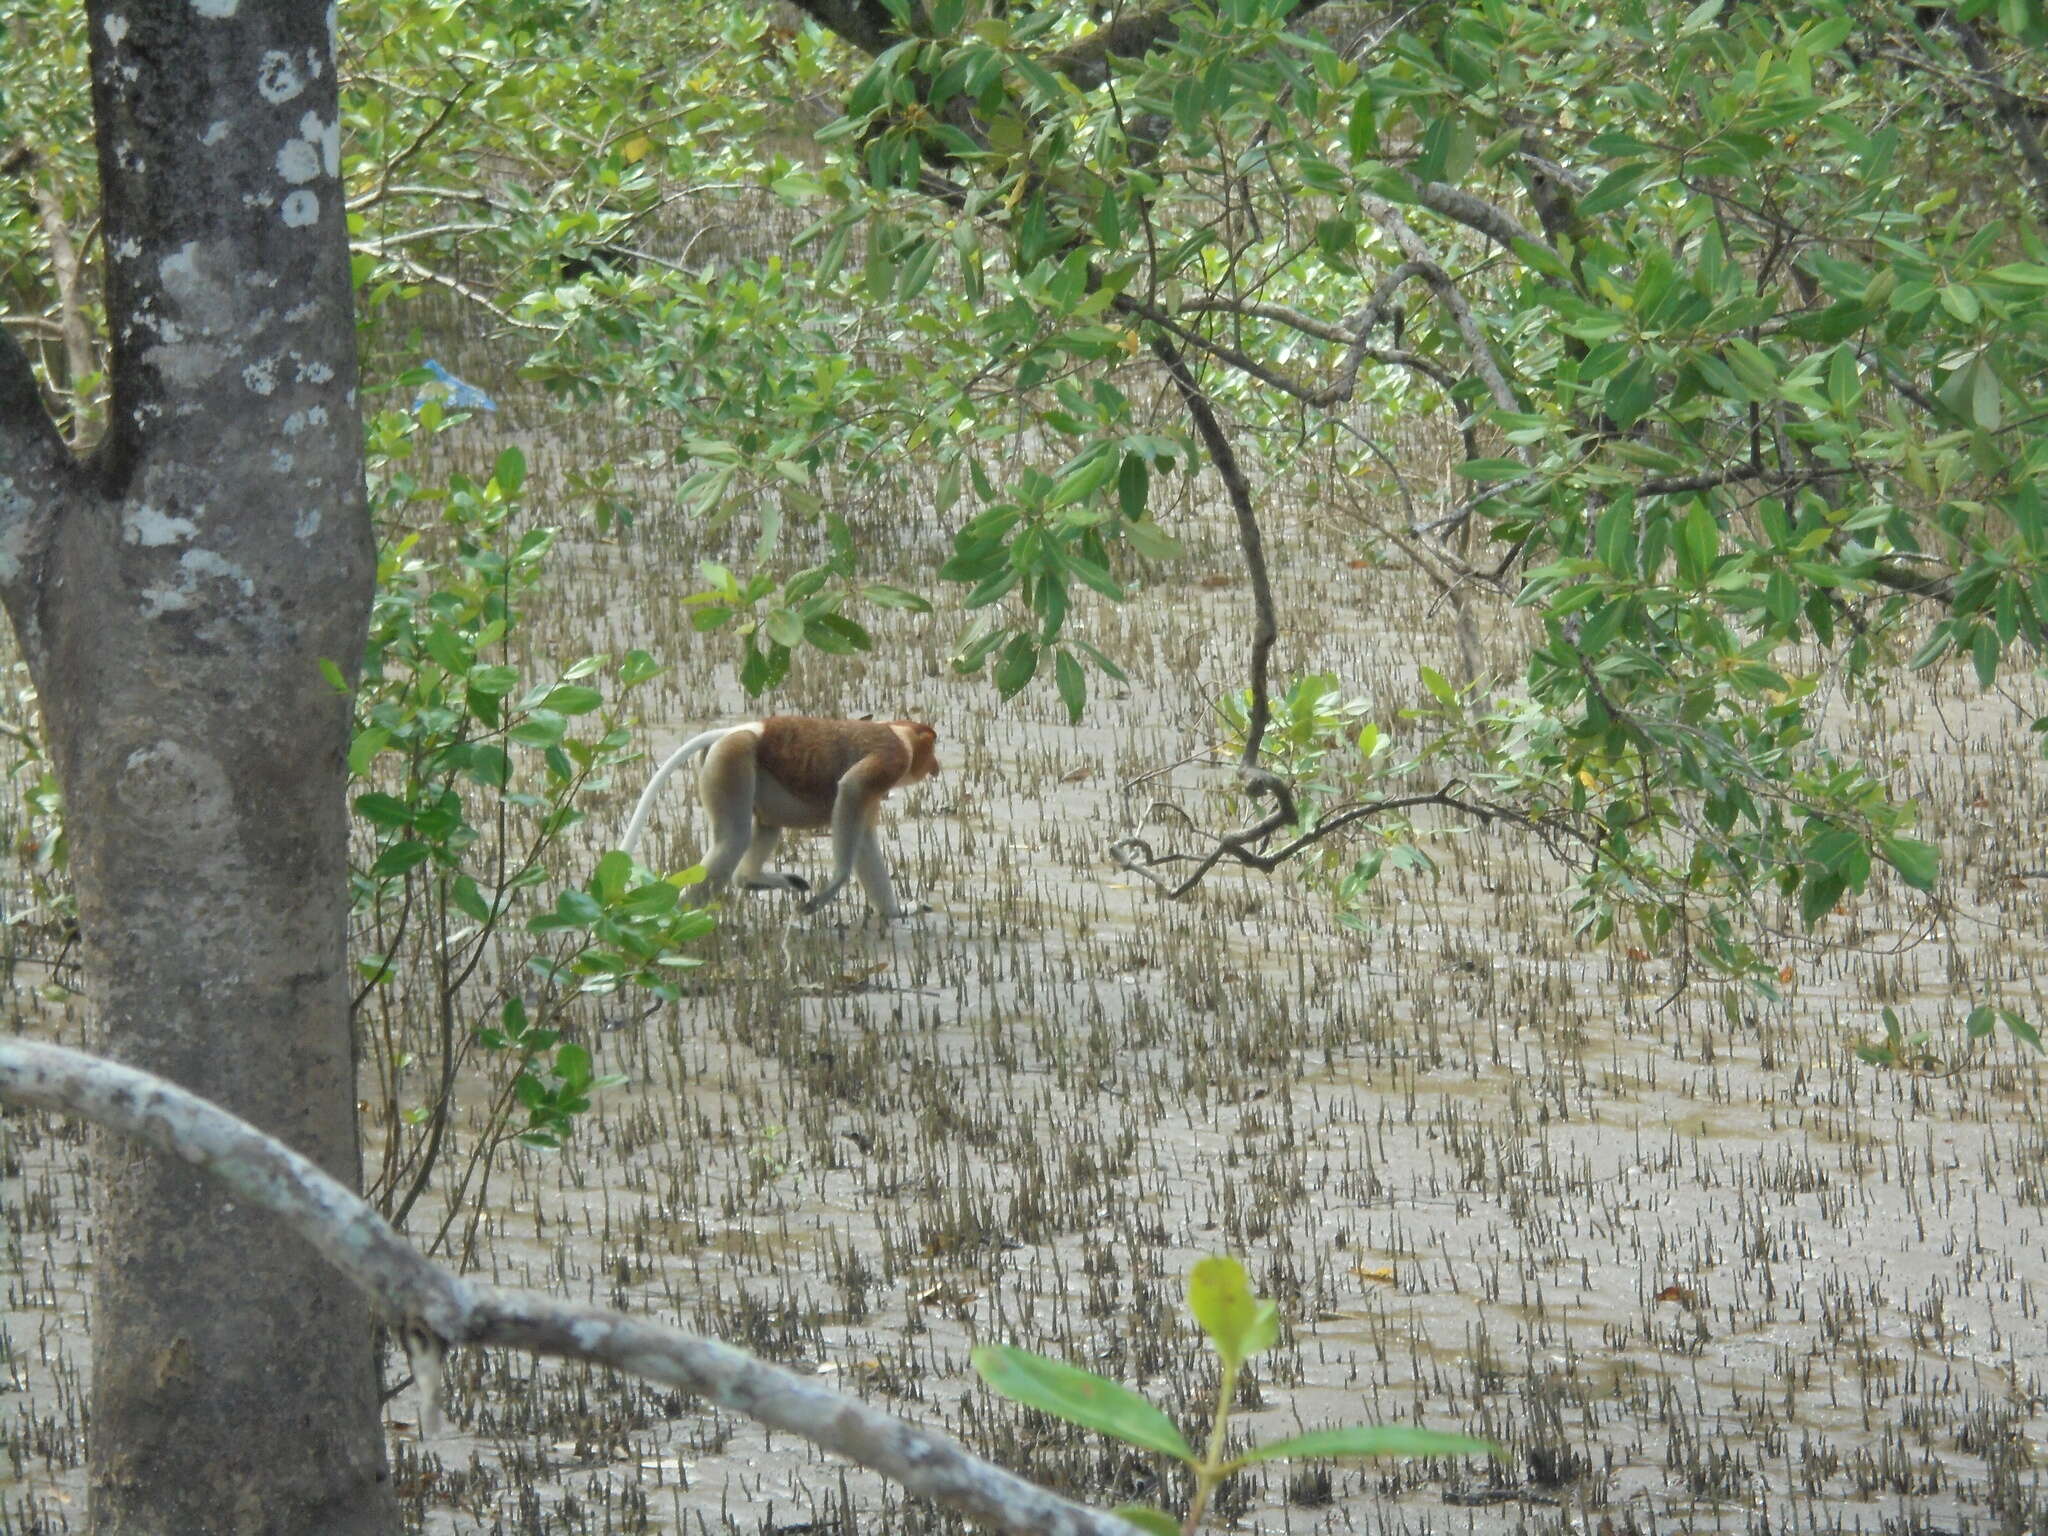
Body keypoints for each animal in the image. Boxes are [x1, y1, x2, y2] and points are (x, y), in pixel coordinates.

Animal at [622, 720, 942, 921]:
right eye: (931, 747)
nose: (936, 766)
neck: (900, 734)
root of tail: (738, 730)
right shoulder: (891, 760)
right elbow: (850, 789)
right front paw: (830, 889)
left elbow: (863, 839)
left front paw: (896, 911)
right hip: (732, 760)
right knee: (733, 839)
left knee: (767, 823)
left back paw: (755, 880)